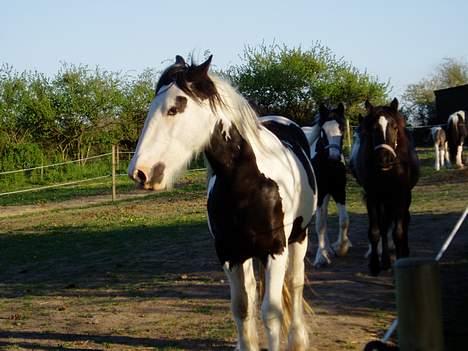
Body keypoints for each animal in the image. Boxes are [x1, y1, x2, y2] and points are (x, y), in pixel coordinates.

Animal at [128, 55, 318, 351]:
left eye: (174, 109)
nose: (140, 172)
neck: (247, 182)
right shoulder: (229, 253)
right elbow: (242, 307)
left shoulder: (275, 250)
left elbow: (271, 312)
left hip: (299, 237)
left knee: (295, 283)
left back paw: (298, 341)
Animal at [302, 104, 350, 266]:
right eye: (323, 131)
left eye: (342, 127)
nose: (334, 157)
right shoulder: (320, 193)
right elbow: (320, 224)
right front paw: (321, 256)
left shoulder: (339, 191)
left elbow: (344, 220)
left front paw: (340, 248)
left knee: (324, 213)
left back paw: (327, 248)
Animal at [350, 98, 418, 276]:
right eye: (373, 129)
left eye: (394, 127)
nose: (384, 159)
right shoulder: (373, 196)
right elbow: (375, 231)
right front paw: (375, 265)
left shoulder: (400, 195)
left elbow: (398, 232)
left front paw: (400, 260)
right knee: (384, 224)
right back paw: (386, 261)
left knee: (403, 222)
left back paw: (404, 252)